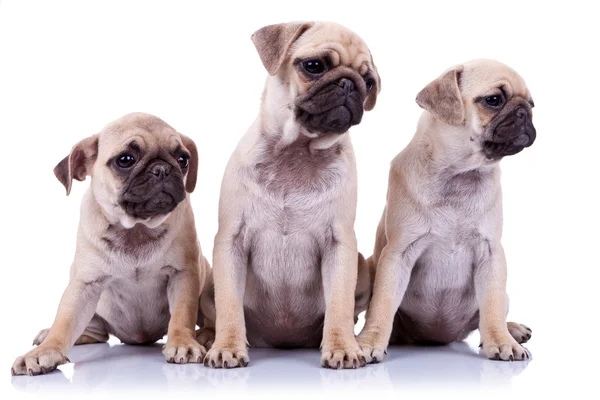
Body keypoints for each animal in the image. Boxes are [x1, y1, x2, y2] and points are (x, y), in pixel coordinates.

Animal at [11, 112, 211, 376]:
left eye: (183, 159)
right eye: (125, 160)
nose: (162, 169)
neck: (137, 228)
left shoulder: (183, 275)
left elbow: (182, 314)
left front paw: (183, 343)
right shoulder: (84, 285)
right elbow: (65, 321)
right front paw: (47, 350)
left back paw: (206, 334)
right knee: (93, 332)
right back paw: (50, 335)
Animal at [200, 21, 380, 368]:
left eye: (368, 82)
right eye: (314, 66)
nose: (350, 84)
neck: (297, 151)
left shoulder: (340, 246)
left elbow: (339, 303)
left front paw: (342, 346)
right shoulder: (231, 242)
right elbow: (229, 304)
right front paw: (227, 346)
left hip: (362, 266)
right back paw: (207, 336)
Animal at [358, 58, 536, 362]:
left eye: (532, 104)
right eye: (494, 100)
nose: (525, 112)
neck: (459, 174)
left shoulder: (491, 254)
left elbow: (491, 306)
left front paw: (502, 341)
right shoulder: (397, 255)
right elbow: (382, 305)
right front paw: (370, 341)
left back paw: (511, 329)